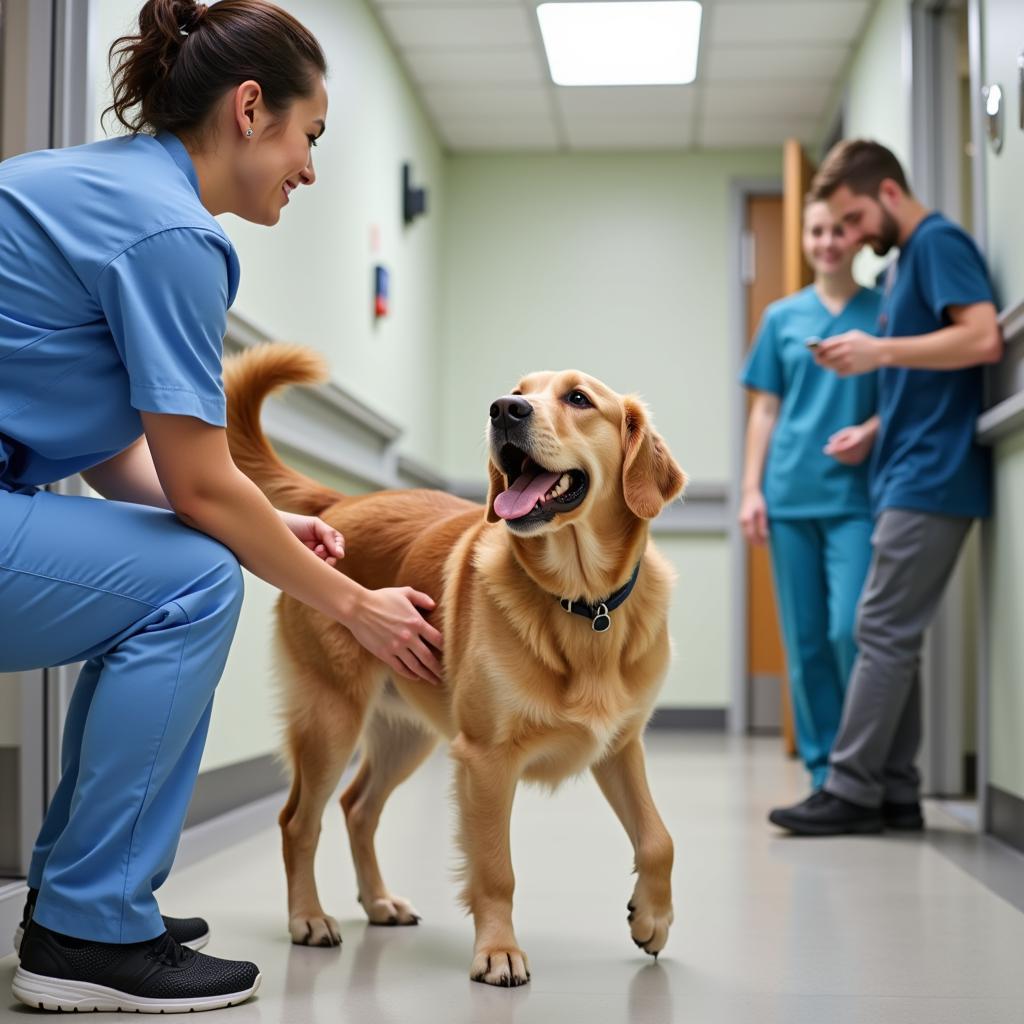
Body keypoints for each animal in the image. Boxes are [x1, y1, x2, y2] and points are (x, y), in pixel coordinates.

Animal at [224, 344, 688, 983]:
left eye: (578, 398)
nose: (504, 409)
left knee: (357, 808)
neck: (580, 602)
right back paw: (308, 918)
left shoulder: (620, 747)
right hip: (331, 719)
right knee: (299, 821)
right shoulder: (486, 760)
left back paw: (379, 903)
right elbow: (495, 869)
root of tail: (343, 502)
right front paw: (498, 951)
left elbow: (659, 838)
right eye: (519, 390)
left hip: (407, 732)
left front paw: (652, 918)